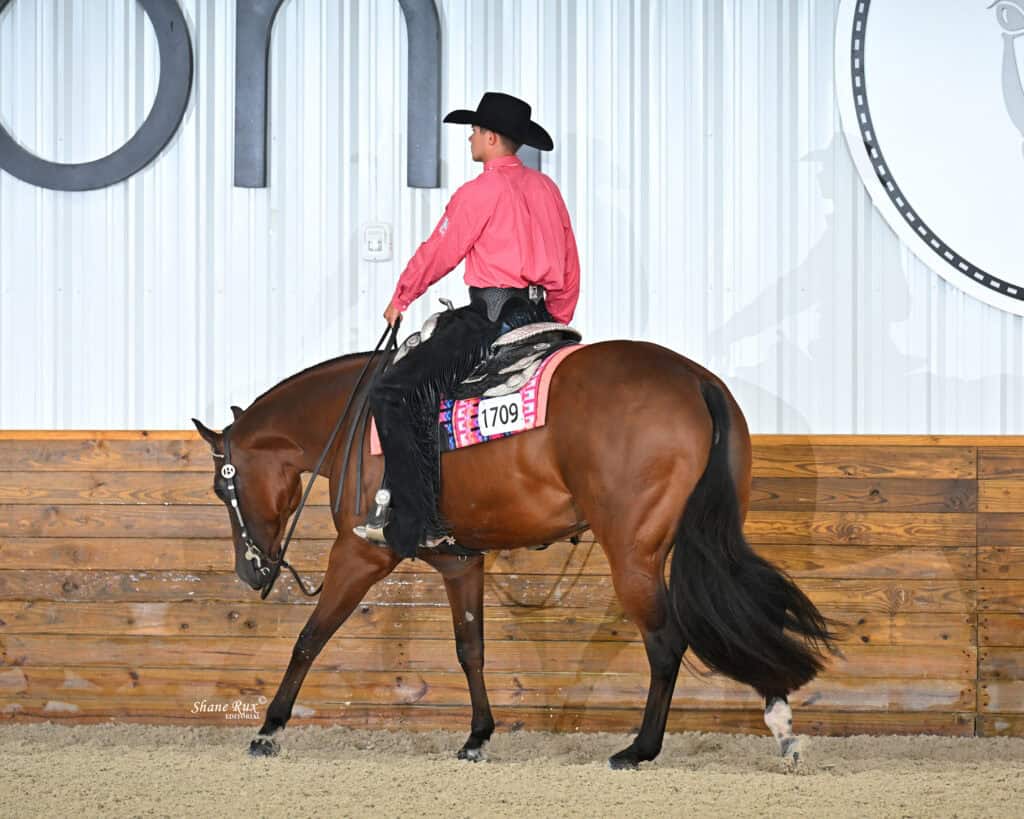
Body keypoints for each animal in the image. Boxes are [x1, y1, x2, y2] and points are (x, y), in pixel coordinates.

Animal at [192, 339, 839, 768]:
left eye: (223, 488)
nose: (249, 572)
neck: (352, 418)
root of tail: (696, 379)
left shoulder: (359, 555)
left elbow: (310, 637)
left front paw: (270, 729)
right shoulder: (459, 561)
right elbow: (470, 649)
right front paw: (478, 735)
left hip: (633, 552)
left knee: (666, 640)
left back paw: (640, 748)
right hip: (708, 536)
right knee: (741, 611)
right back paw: (780, 722)